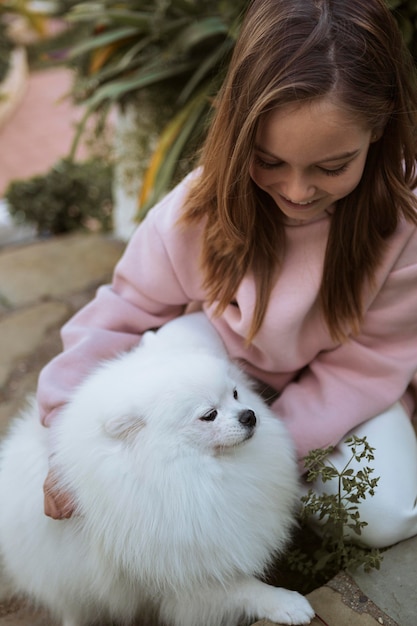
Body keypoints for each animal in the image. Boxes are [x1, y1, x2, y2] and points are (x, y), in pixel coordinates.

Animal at [0, 314, 312, 620]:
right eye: (209, 415)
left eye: (235, 394)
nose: (249, 415)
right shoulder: (179, 568)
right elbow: (242, 587)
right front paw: (287, 603)